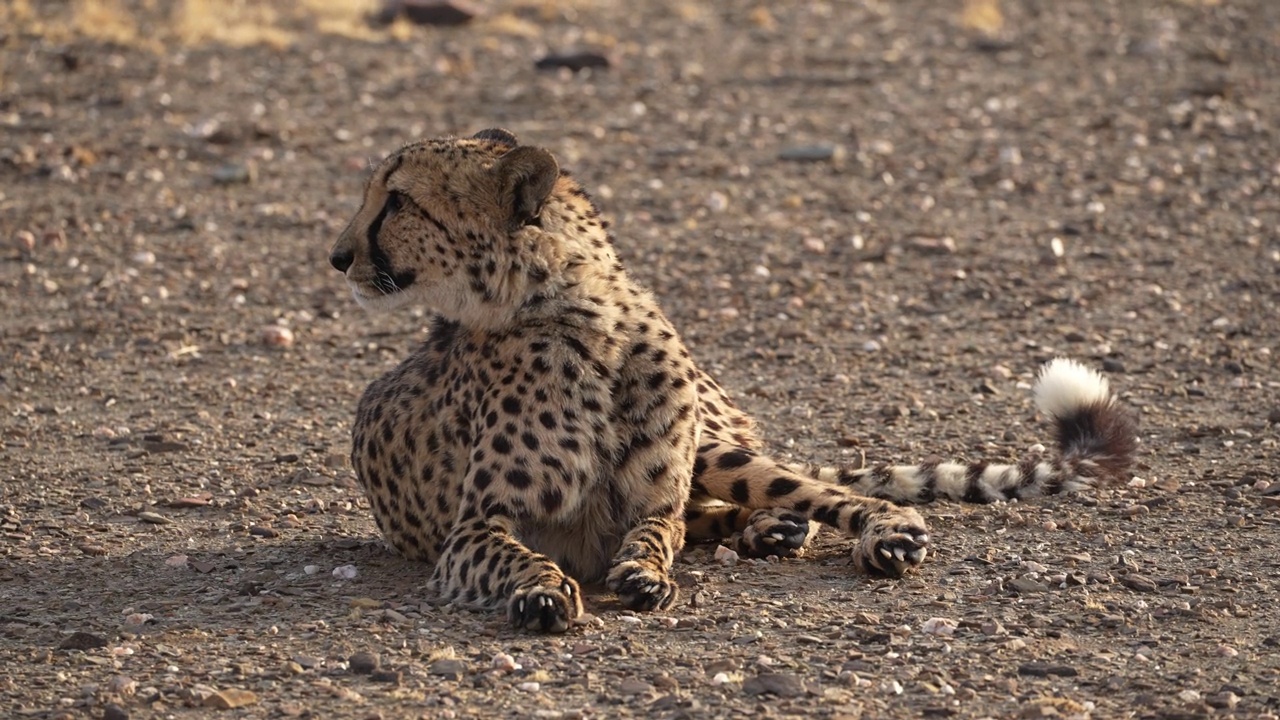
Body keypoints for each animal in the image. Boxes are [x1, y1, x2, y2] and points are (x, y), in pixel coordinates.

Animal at [330, 127, 1141, 627]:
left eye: (397, 199)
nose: (338, 257)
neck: (578, 311)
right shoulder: (474, 528)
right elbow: (519, 554)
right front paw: (542, 591)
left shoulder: (657, 492)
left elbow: (657, 529)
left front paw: (644, 571)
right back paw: (769, 531)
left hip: (722, 449)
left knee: (825, 493)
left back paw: (868, 532)